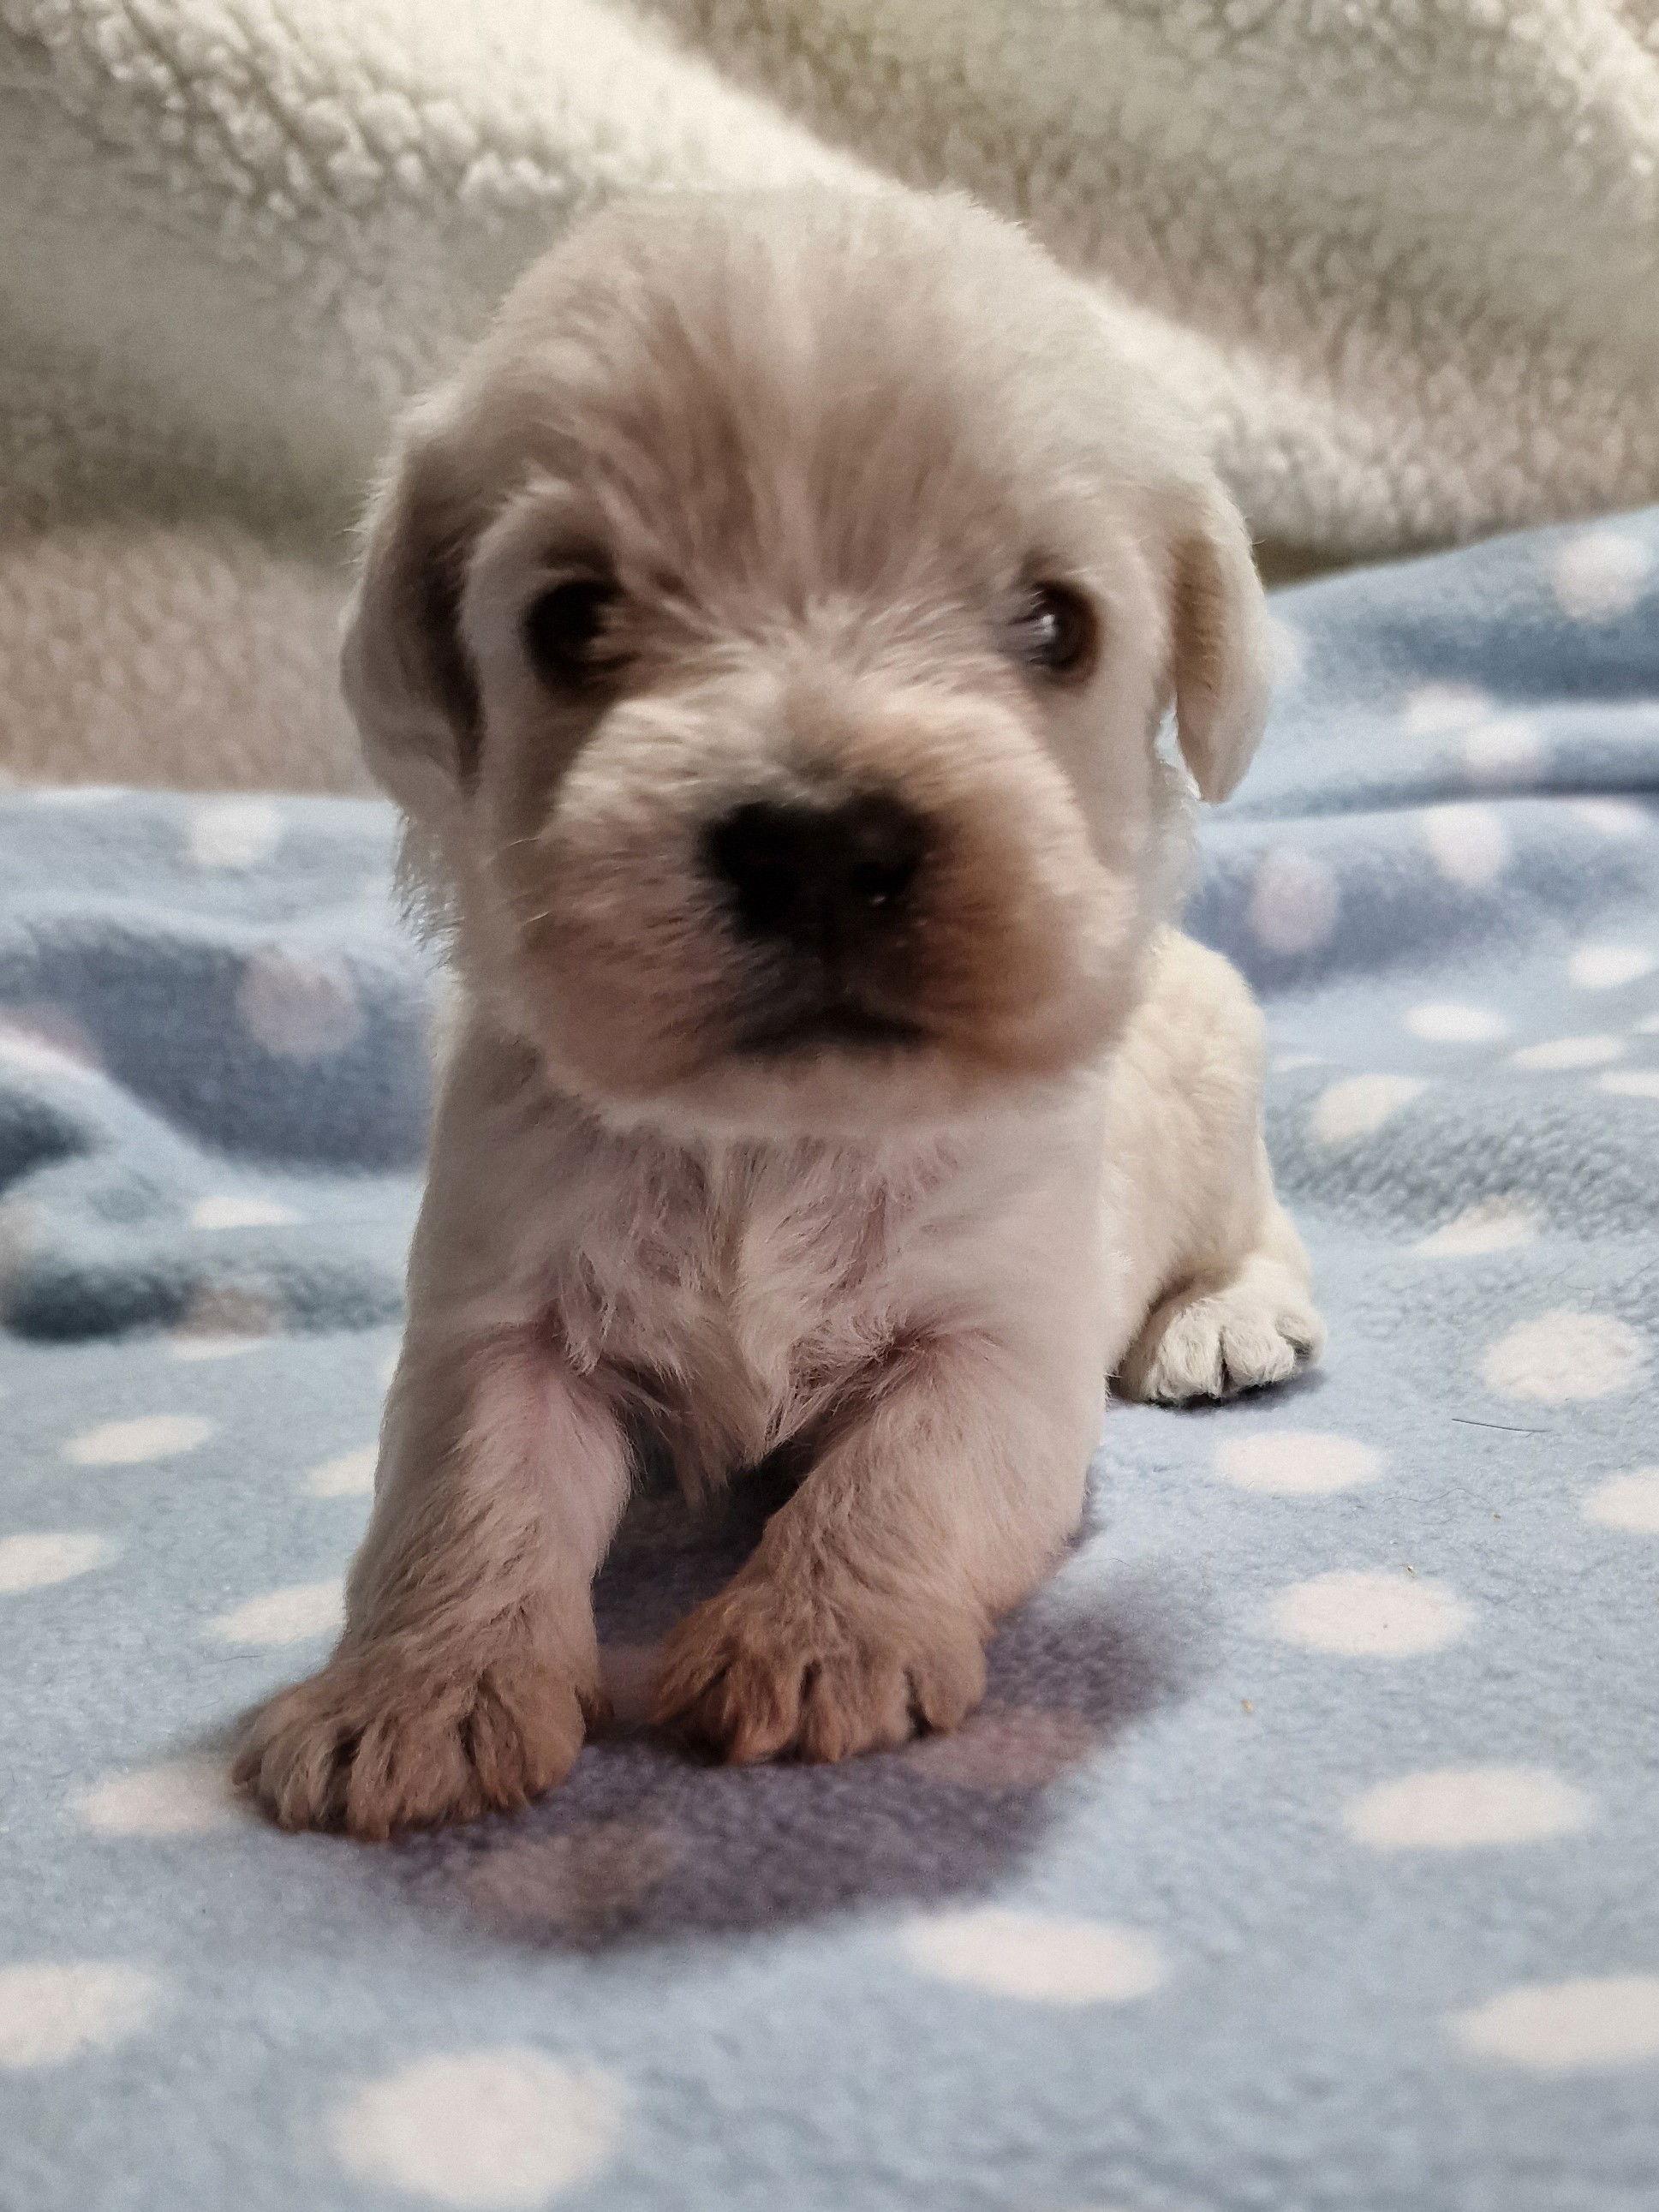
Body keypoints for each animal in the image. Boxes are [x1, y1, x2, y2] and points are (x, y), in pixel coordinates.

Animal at [234, 185, 1327, 1831]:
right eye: (569, 619)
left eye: (1056, 625)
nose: (820, 845)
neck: (774, 1133)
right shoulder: (497, 1313)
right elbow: (464, 1497)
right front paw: (412, 1693)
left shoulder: (1003, 1338)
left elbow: (904, 1470)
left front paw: (815, 1637)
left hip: (1217, 1090)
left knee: (1268, 1224)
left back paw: (1222, 1319)